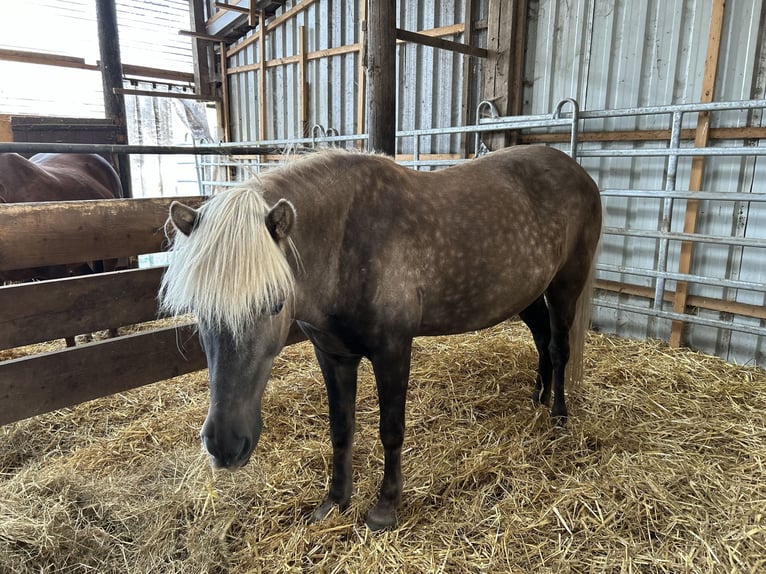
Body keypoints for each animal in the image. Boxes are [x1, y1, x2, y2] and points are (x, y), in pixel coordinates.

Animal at [159, 145, 602, 530]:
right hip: (527, 293)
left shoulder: (392, 351)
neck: (345, 243)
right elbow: (341, 429)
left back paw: (558, 416)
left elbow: (391, 430)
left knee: (558, 347)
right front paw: (335, 501)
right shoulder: (332, 355)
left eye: (273, 302)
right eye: (198, 309)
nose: (224, 446)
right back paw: (538, 397)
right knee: (542, 340)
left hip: (566, 284)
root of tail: (576, 170)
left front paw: (385, 507)